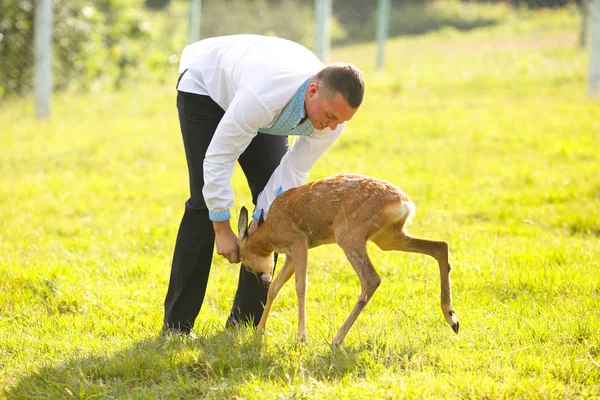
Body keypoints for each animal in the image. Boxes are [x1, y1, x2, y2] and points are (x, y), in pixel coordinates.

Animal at [236, 173, 460, 346]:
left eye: (246, 264)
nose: (262, 280)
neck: (270, 229)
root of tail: (404, 203)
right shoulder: (291, 255)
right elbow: (275, 288)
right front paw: (259, 332)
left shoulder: (299, 242)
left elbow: (301, 286)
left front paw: (301, 337)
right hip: (389, 238)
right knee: (440, 246)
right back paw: (452, 319)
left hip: (349, 237)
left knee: (371, 279)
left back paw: (337, 339)